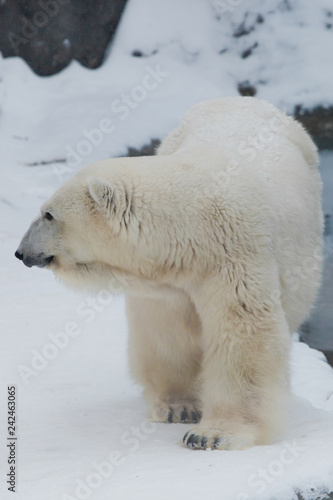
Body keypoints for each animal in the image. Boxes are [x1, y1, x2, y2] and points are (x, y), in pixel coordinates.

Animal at [15, 96, 322, 450]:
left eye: (48, 214)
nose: (20, 252)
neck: (194, 227)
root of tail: (243, 99)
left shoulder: (235, 255)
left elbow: (242, 332)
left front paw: (212, 434)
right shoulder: (170, 279)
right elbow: (167, 330)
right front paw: (179, 408)